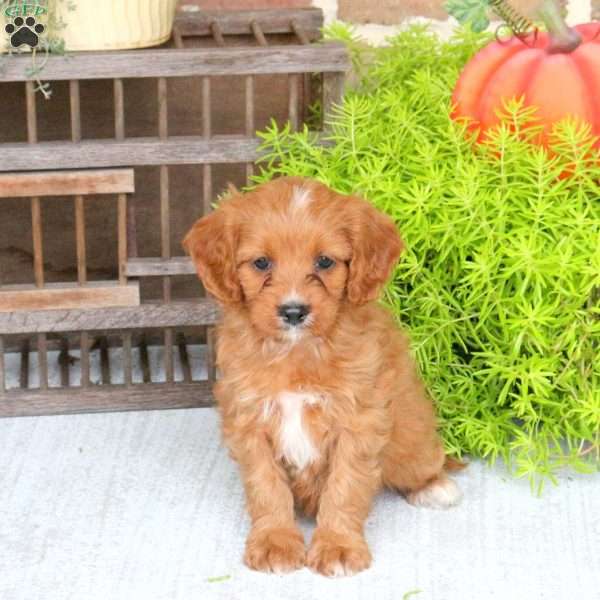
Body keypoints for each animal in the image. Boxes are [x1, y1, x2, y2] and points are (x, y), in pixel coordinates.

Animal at [185, 177, 462, 576]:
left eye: (325, 261)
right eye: (261, 263)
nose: (293, 311)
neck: (297, 351)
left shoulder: (358, 422)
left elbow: (344, 488)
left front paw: (338, 546)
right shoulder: (249, 421)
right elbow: (266, 487)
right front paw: (275, 542)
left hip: (411, 443)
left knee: (424, 463)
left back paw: (435, 487)